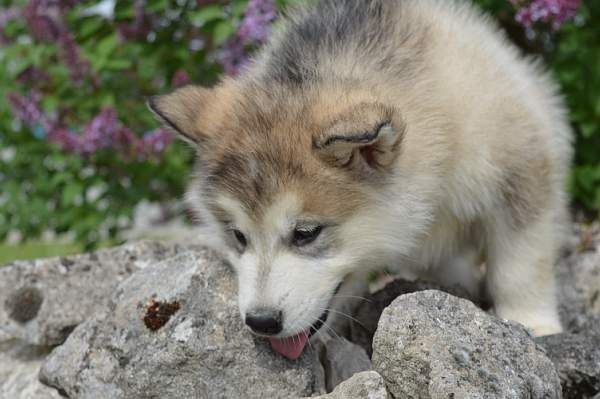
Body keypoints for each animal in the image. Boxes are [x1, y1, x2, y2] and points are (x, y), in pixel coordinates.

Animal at [150, 0, 572, 360]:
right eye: (237, 236)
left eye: (306, 233)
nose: (262, 322)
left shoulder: (521, 167)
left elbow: (521, 261)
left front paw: (531, 322)